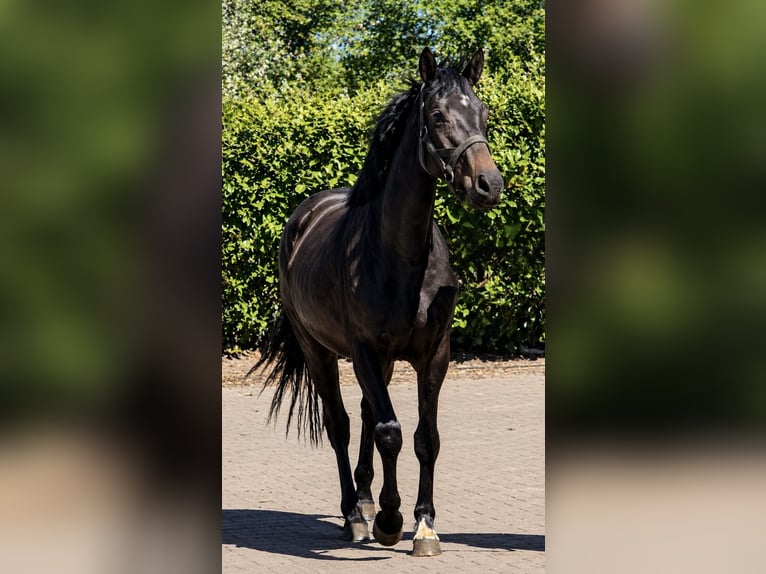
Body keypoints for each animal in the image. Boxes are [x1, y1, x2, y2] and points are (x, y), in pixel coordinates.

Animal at [253, 47, 504, 556]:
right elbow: (391, 432)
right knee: (342, 424)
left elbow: (426, 438)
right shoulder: (365, 350)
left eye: (483, 113)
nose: (488, 184)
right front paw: (391, 519)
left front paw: (424, 526)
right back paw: (355, 513)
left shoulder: (435, 354)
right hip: (319, 351)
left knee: (369, 414)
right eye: (437, 115)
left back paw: (367, 500)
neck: (401, 259)